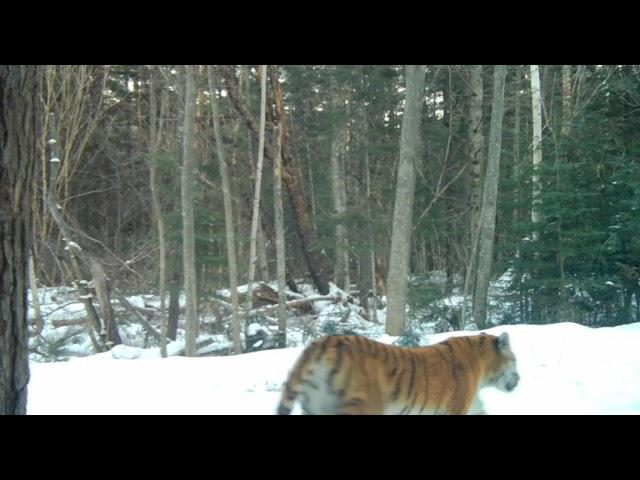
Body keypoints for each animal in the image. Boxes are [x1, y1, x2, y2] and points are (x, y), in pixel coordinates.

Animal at [278, 332, 516, 414]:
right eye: (515, 361)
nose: (519, 379)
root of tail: (325, 342)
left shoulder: (474, 405)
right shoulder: (457, 407)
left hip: (316, 406)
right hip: (363, 407)